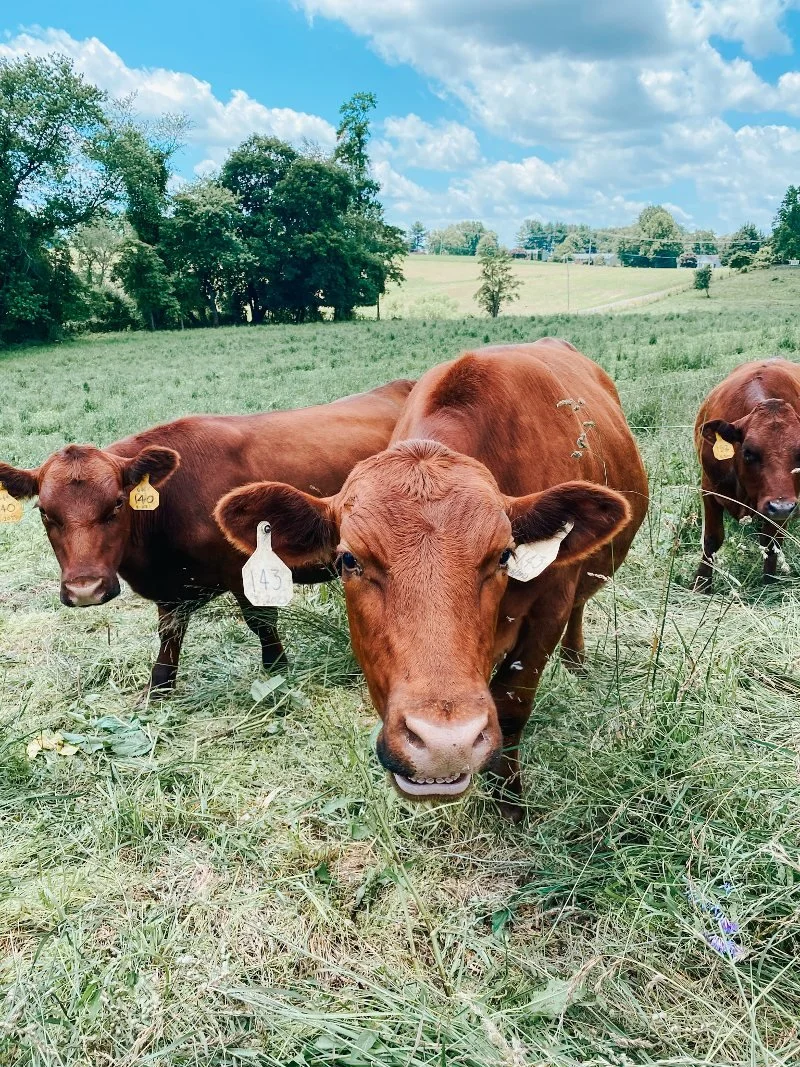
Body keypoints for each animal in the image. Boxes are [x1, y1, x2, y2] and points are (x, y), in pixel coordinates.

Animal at [0, 379, 414, 696]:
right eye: (44, 512)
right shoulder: (170, 590)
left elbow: (261, 622)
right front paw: (160, 688)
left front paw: (276, 668)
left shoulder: (247, 570)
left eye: (117, 503)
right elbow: (169, 633)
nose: (85, 589)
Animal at [215, 340, 648, 818]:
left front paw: (510, 804)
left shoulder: (548, 610)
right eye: (348, 560)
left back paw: (575, 662)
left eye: (504, 555)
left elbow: (512, 705)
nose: (445, 744)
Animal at [693, 358, 800, 591]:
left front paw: (768, 584)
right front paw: (701, 585)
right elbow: (711, 539)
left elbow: (771, 543)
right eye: (748, 452)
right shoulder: (708, 489)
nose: (781, 507)